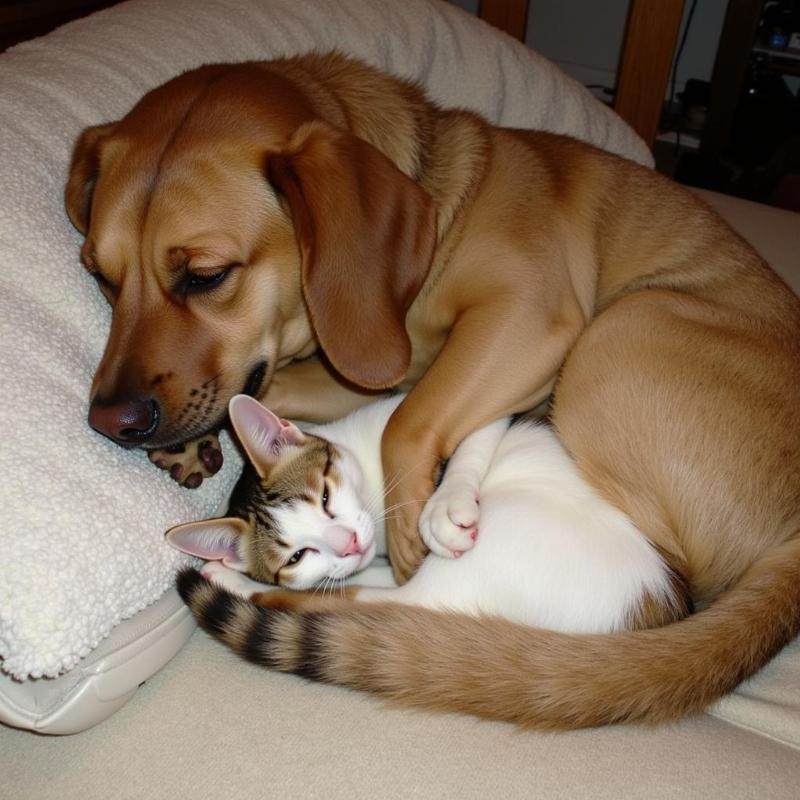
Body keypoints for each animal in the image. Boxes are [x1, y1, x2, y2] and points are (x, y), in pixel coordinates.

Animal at [166, 394, 684, 636]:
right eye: (296, 557)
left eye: (325, 497)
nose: (349, 544)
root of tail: (655, 604)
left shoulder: (456, 408)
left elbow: (474, 435)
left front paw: (445, 507)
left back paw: (230, 581)